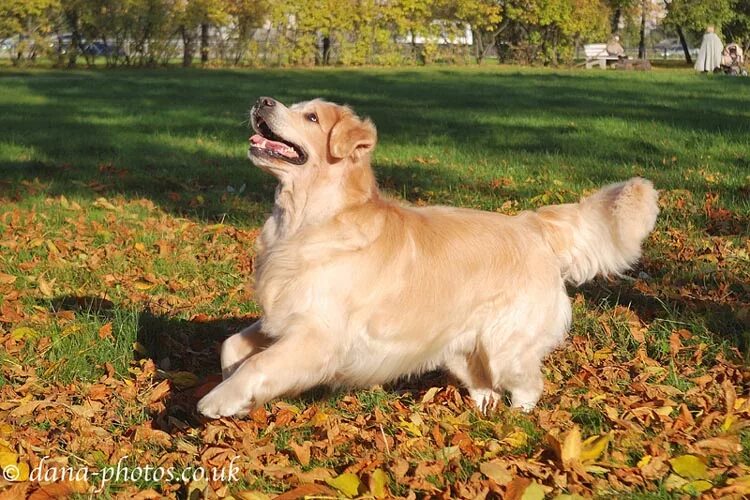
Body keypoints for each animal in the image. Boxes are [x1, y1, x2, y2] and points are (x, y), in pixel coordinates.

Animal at [197, 96, 660, 418]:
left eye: (311, 118)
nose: (262, 101)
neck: (306, 220)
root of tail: (531, 225)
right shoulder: (283, 317)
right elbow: (231, 345)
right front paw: (232, 387)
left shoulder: (318, 335)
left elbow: (260, 364)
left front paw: (220, 400)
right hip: (461, 348)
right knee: (485, 386)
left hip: (506, 344)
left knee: (528, 385)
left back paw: (517, 421)